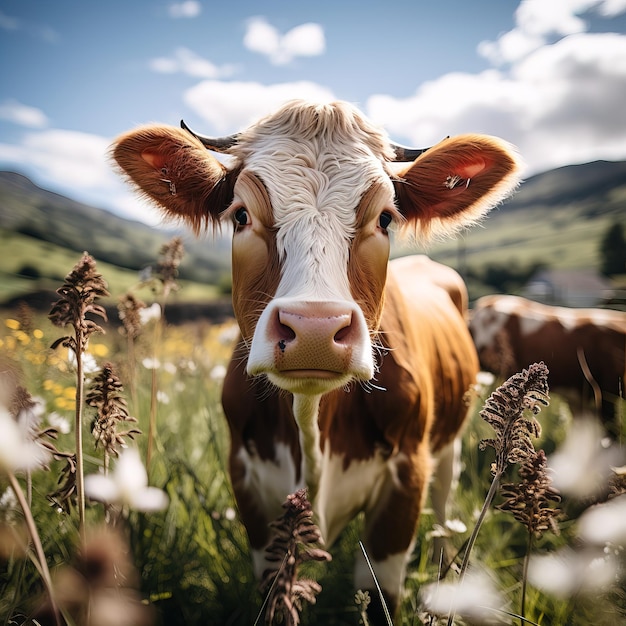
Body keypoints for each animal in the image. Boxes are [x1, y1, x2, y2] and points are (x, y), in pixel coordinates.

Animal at [109, 98, 520, 620]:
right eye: (240, 216)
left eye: (385, 219)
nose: (315, 330)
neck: (312, 424)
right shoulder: (248, 485)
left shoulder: (406, 479)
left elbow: (379, 594)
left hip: (448, 448)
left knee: (446, 511)